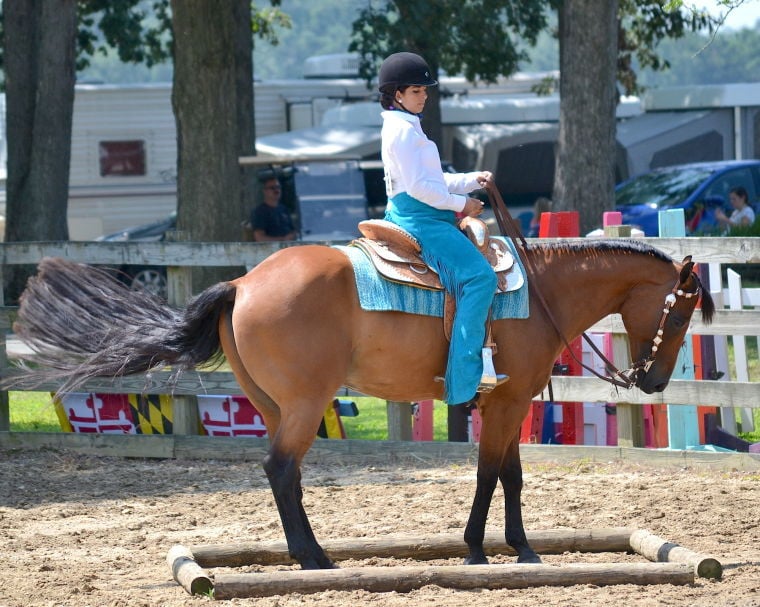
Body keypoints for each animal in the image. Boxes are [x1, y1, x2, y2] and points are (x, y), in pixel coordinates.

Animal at [11, 240, 712, 572]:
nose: (653, 383)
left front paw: (520, 546)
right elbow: (491, 475)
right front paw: (481, 548)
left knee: (284, 475)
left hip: (273, 405)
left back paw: (311, 553)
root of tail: (242, 281)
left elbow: (511, 475)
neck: (537, 294)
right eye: (680, 315)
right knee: (282, 471)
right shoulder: (508, 402)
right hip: (304, 404)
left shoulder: (508, 402)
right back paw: (312, 559)